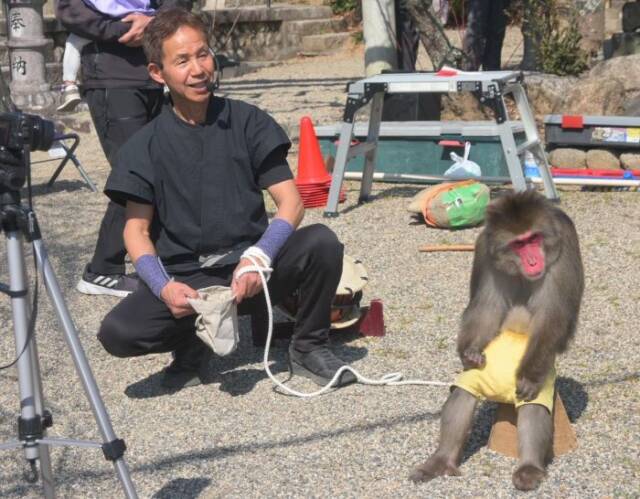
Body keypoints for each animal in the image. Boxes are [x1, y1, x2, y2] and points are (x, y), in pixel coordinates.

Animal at [410, 190, 584, 491]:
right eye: (518, 244)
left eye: (533, 239)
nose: (533, 261)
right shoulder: (485, 250)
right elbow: (487, 304)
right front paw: (468, 352)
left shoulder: (564, 244)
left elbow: (553, 315)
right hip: (482, 373)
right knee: (463, 391)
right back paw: (441, 461)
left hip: (541, 377)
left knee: (532, 406)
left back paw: (528, 468)